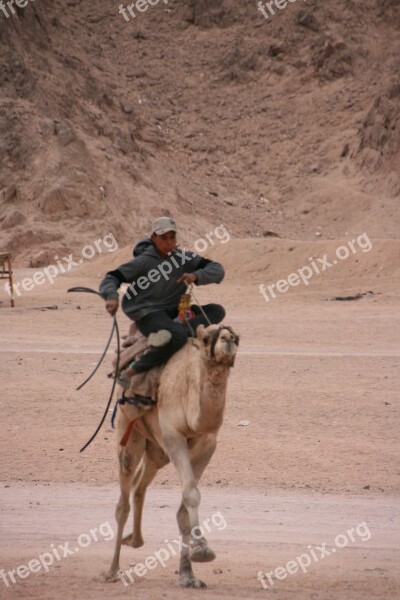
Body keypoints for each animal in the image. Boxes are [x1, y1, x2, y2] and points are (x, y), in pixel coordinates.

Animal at [104, 322, 239, 588]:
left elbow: (185, 506)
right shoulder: (173, 436)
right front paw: (202, 550)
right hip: (129, 431)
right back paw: (113, 570)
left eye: (237, 337)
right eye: (207, 338)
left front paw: (188, 576)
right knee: (123, 499)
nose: (228, 340)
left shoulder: (207, 443)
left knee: (139, 486)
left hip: (157, 452)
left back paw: (134, 540)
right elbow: (191, 495)